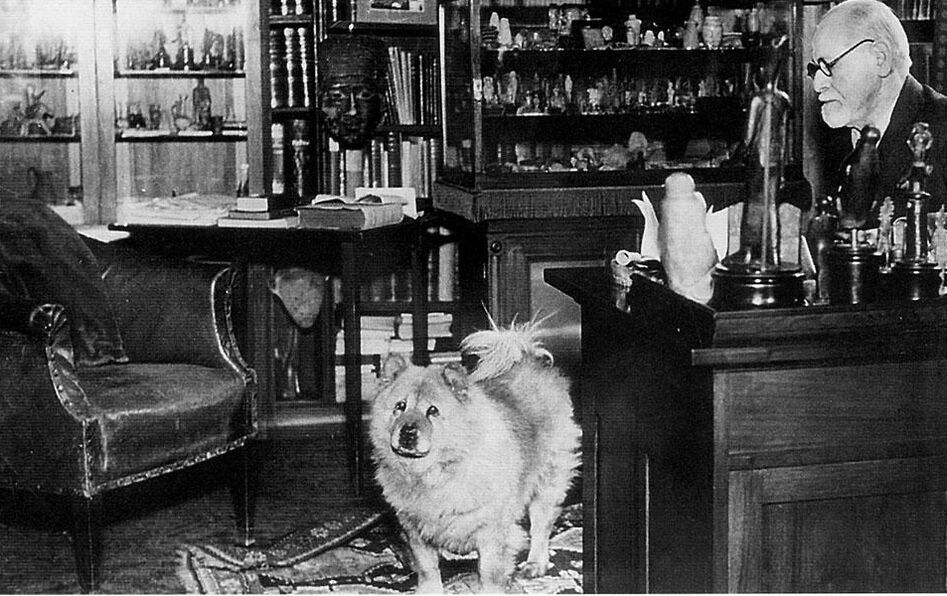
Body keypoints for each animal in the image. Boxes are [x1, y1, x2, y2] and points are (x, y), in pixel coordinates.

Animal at [369, 320, 581, 593]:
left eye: (432, 411)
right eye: (400, 407)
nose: (407, 431)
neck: (435, 474)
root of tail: (530, 360)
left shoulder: (491, 532)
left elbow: (489, 571)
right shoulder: (416, 531)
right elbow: (428, 568)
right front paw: (430, 589)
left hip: (547, 483)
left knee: (541, 527)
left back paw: (535, 564)